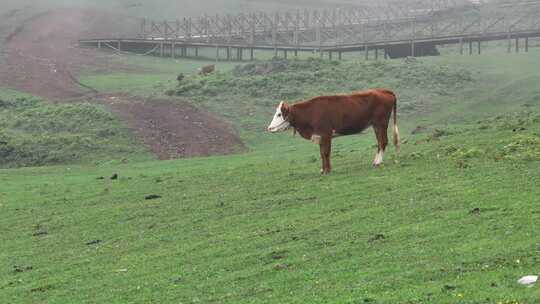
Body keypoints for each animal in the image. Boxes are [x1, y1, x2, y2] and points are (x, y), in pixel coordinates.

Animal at [268, 88, 398, 173]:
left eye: (279, 114)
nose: (269, 128)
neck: (311, 113)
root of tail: (383, 90)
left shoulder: (326, 134)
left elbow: (326, 152)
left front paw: (327, 170)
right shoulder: (320, 136)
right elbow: (322, 153)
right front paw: (323, 169)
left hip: (381, 123)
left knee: (383, 141)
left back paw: (378, 162)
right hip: (376, 125)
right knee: (380, 142)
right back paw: (376, 161)